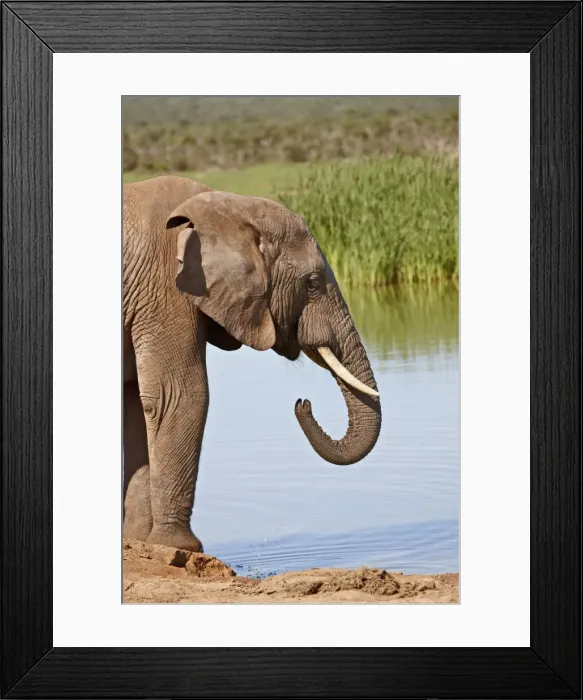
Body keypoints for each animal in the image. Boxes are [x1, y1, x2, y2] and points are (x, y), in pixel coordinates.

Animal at [123, 175, 381, 553]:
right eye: (312, 284)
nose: (303, 402)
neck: (230, 208)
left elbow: (138, 405)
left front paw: (141, 543)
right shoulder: (165, 289)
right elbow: (180, 395)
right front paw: (181, 548)